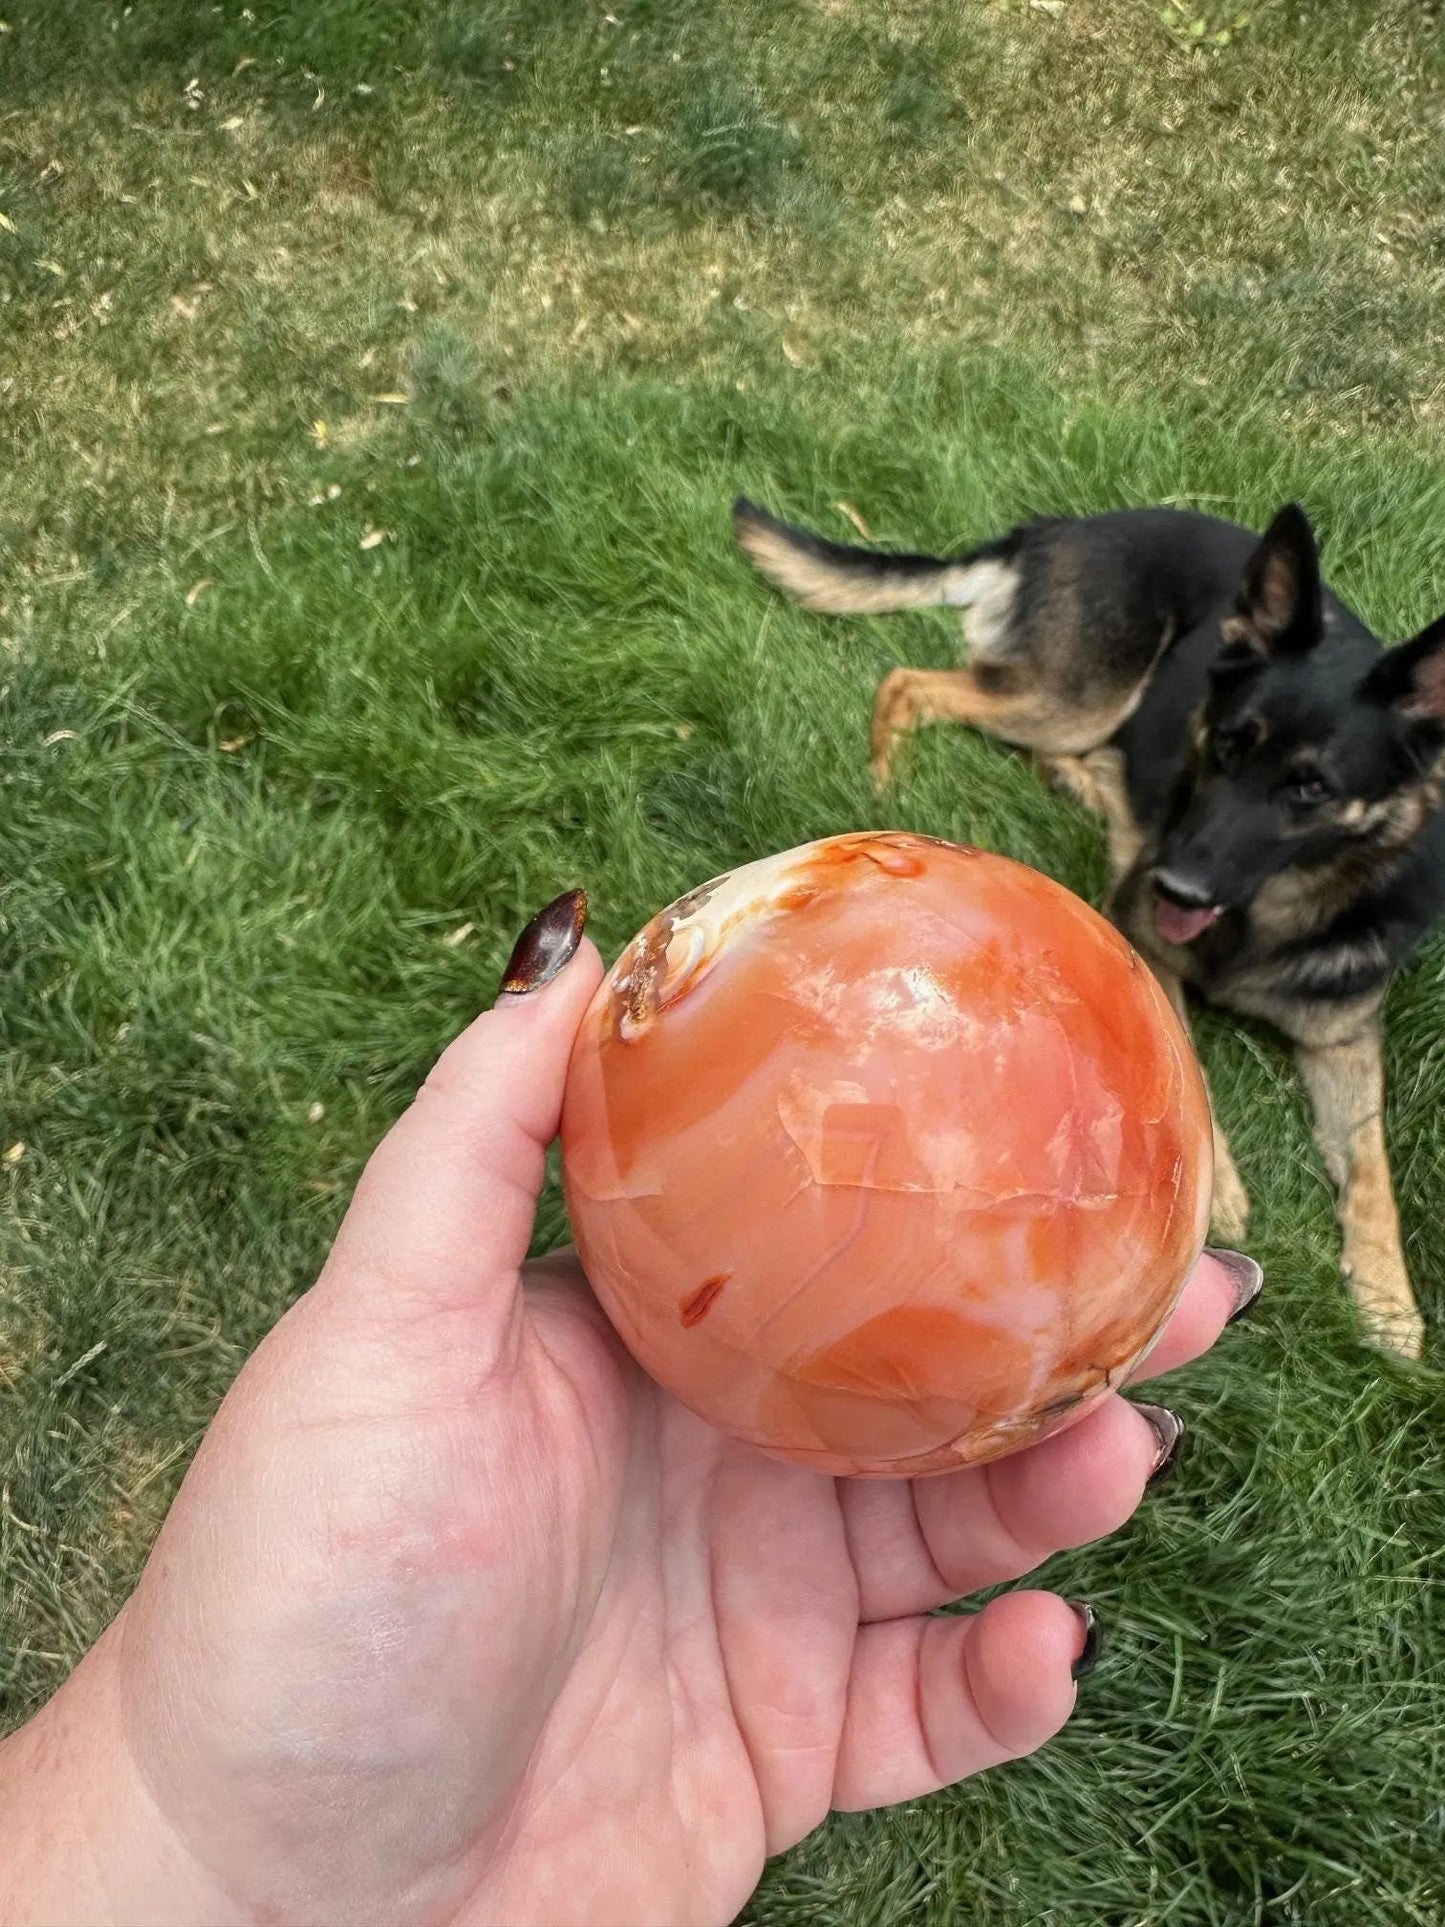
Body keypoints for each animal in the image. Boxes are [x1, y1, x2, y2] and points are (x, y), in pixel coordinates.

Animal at [735, 497, 1445, 1356]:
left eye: (1309, 789)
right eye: (1227, 744)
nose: (1172, 881)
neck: (1266, 915)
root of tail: (1061, 525)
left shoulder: (1342, 1036)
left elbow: (1372, 1169)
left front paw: (1389, 1302)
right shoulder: (1146, 941)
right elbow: (1187, 1063)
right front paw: (1222, 1185)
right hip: (1077, 699)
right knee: (911, 683)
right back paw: (883, 782)